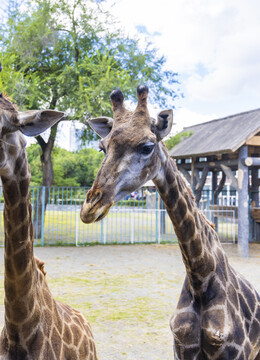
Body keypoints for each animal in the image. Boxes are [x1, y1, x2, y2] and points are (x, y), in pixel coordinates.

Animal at [80, 85, 260, 360]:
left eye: (147, 146)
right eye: (102, 147)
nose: (89, 208)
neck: (200, 278)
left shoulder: (236, 352)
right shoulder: (181, 349)